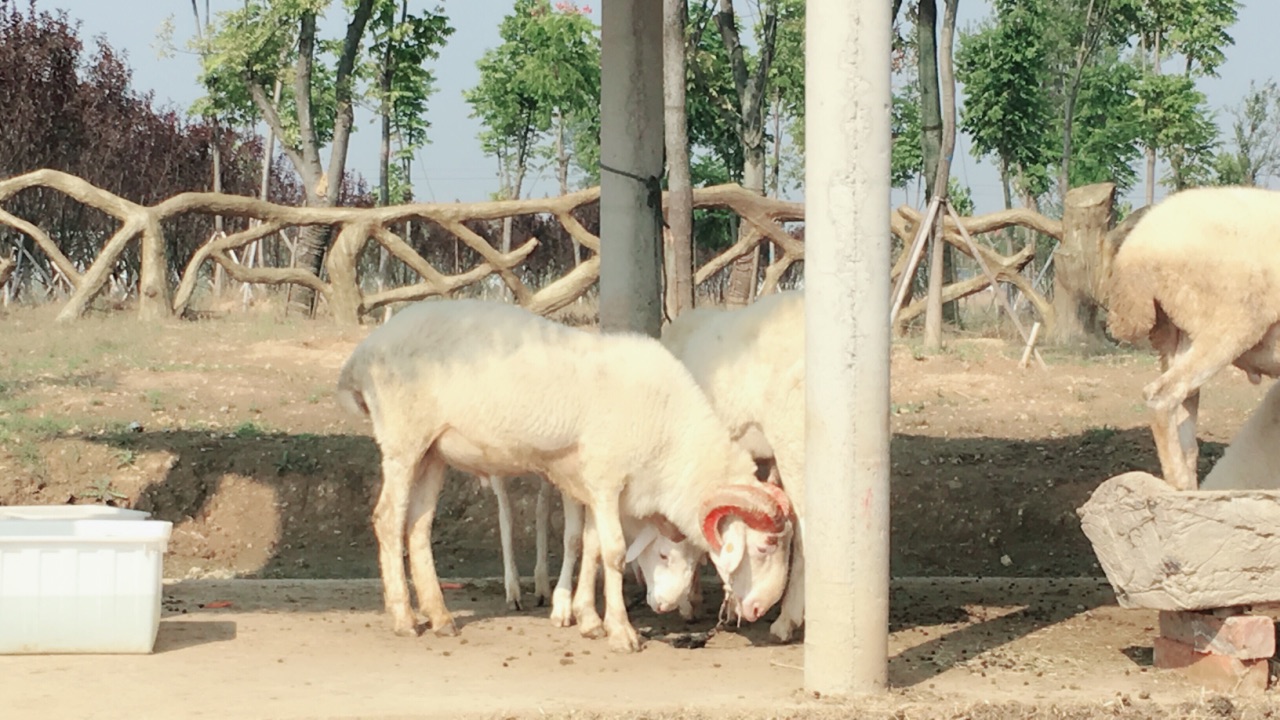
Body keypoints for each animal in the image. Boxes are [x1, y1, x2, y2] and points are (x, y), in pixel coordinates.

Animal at [335, 295, 793, 650]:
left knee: (417, 525)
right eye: (765, 545)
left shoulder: (589, 482)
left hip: (433, 450)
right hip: (402, 440)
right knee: (388, 519)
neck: (671, 438)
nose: (760, 609)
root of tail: (360, 356)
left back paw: (440, 617)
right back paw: (404, 618)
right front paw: (621, 632)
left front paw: (589, 620)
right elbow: (612, 551)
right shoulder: (607, 479)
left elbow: (589, 546)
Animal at [1100, 181, 1280, 489]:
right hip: (1230, 323)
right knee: (1162, 396)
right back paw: (1181, 487)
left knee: (1184, 412)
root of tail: (1135, 250)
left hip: (1178, 332)